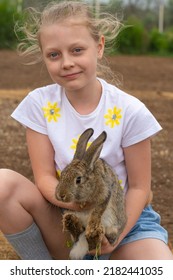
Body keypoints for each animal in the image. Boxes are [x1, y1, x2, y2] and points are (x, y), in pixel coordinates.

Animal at [54, 128, 126, 260]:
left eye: (78, 179)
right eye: (62, 175)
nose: (61, 195)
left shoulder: (105, 194)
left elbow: (97, 212)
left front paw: (93, 226)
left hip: (112, 227)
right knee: (77, 233)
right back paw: (71, 223)